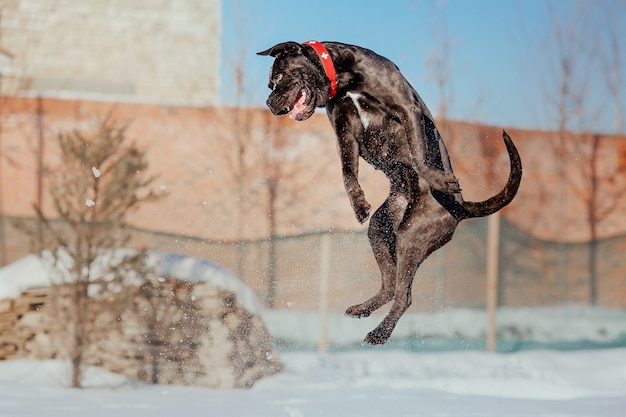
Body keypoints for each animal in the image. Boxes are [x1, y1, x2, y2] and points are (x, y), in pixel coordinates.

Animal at [258, 40, 520, 342]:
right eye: (270, 83)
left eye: (279, 78)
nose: (268, 103)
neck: (345, 80)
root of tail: (461, 207)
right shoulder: (345, 133)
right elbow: (347, 174)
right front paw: (359, 205)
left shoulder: (407, 108)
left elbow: (418, 153)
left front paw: (439, 180)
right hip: (380, 230)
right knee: (391, 285)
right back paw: (362, 309)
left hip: (412, 235)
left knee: (404, 295)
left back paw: (380, 333)